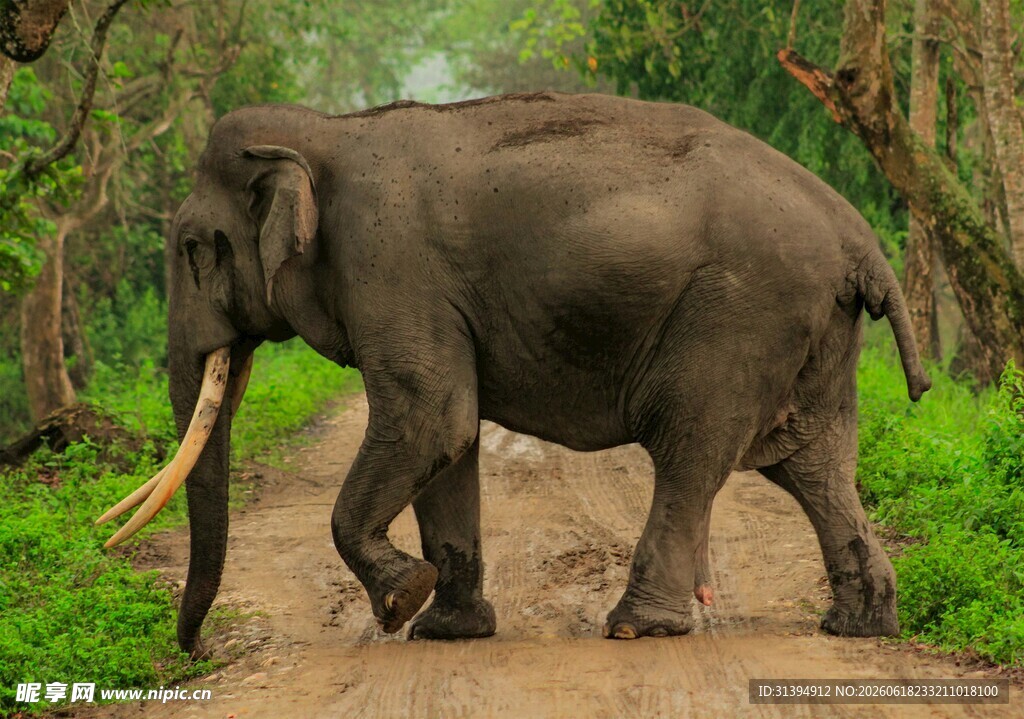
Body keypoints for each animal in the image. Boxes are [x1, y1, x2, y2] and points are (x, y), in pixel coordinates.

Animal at [98, 91, 930, 659]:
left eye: (194, 248)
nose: (195, 648)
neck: (325, 128)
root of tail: (859, 238)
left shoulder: (388, 266)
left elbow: (431, 417)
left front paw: (401, 602)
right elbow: (449, 438)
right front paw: (447, 630)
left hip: (739, 314)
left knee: (690, 448)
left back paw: (635, 627)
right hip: (814, 329)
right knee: (813, 462)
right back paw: (858, 624)